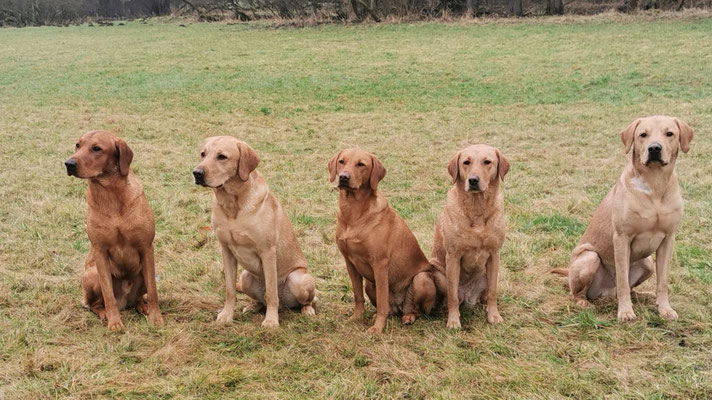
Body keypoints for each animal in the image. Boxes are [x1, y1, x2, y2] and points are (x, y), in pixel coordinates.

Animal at [64, 130, 163, 330]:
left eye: (96, 148)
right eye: (77, 145)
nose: (69, 163)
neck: (110, 194)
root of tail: (124, 300)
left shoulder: (147, 248)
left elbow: (153, 291)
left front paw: (156, 318)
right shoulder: (100, 252)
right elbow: (108, 295)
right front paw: (114, 322)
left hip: (143, 271)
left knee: (139, 297)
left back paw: (143, 306)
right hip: (92, 274)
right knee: (93, 303)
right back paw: (103, 313)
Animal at [195, 136, 318, 326]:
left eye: (222, 156)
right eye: (203, 154)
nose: (196, 173)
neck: (233, 205)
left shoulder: (267, 251)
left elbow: (272, 293)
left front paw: (271, 322)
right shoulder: (226, 250)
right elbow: (230, 290)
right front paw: (227, 315)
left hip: (299, 279)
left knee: (303, 300)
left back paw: (307, 310)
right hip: (246, 277)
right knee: (261, 299)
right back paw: (252, 306)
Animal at [326, 148, 436, 332]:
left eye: (361, 164)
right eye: (341, 161)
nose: (343, 177)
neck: (353, 214)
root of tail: (399, 306)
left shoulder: (380, 264)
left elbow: (383, 301)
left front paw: (377, 329)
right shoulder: (350, 263)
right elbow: (357, 296)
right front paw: (356, 317)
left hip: (421, 279)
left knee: (415, 309)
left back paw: (408, 316)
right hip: (370, 284)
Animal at [552, 116, 696, 322]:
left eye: (669, 133)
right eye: (643, 134)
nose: (654, 148)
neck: (655, 184)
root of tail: (605, 292)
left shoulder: (668, 239)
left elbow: (662, 281)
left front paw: (665, 309)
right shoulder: (621, 238)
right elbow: (622, 281)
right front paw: (626, 312)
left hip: (647, 264)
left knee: (633, 287)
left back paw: (644, 295)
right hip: (589, 257)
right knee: (580, 292)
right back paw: (583, 302)